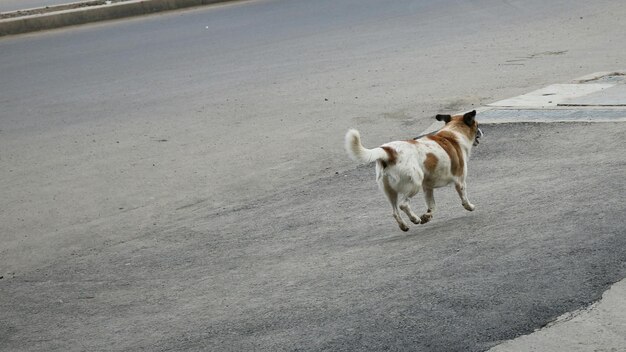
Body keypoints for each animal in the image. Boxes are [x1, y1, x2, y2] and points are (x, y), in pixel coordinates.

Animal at [344, 110, 480, 231]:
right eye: (477, 125)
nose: (481, 132)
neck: (453, 133)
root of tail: (389, 152)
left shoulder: (427, 188)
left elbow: (432, 206)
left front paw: (427, 216)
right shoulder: (460, 181)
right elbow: (464, 197)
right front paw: (469, 206)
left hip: (390, 192)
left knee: (394, 211)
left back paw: (404, 225)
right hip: (414, 184)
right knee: (403, 204)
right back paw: (414, 218)